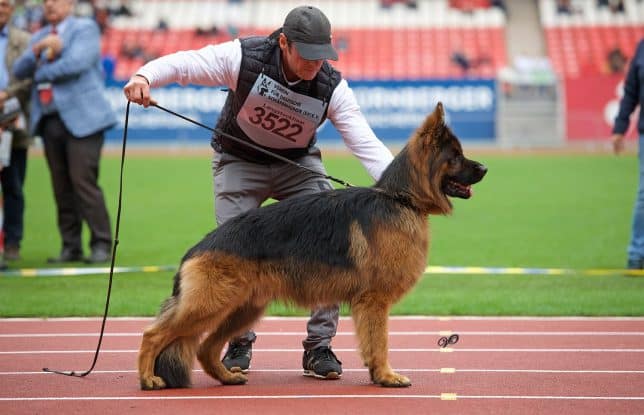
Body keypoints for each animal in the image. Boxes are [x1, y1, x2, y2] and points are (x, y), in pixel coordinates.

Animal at [138, 103, 486, 390]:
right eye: (455, 156)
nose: (485, 168)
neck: (401, 198)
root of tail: (196, 249)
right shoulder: (374, 301)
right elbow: (380, 342)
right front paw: (386, 376)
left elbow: (373, 344)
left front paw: (378, 375)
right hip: (209, 306)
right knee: (153, 335)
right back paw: (148, 379)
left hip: (242, 308)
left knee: (204, 348)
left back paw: (226, 377)